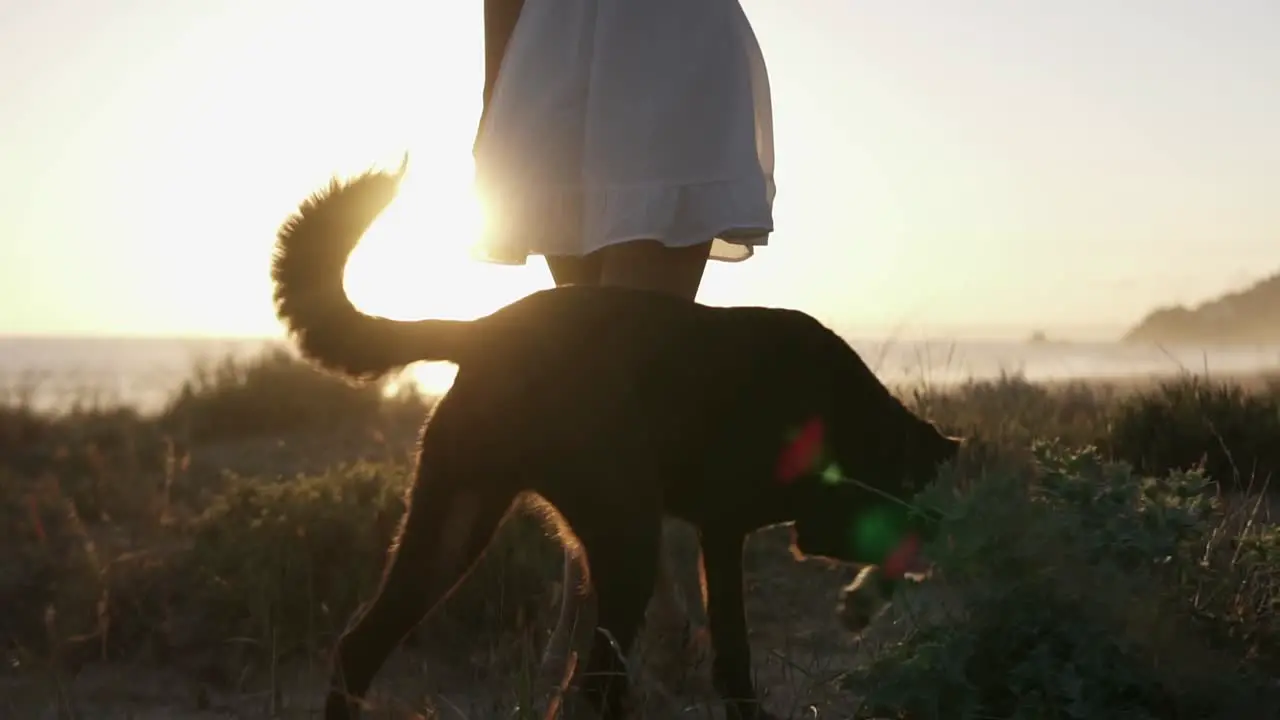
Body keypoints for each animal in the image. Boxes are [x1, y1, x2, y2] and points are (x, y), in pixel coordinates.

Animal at [270, 158, 962, 717]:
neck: (845, 401)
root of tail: (485, 330)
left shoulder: (724, 531)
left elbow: (733, 654)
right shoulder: (789, 518)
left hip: (453, 523)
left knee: (360, 647)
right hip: (624, 533)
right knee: (593, 684)